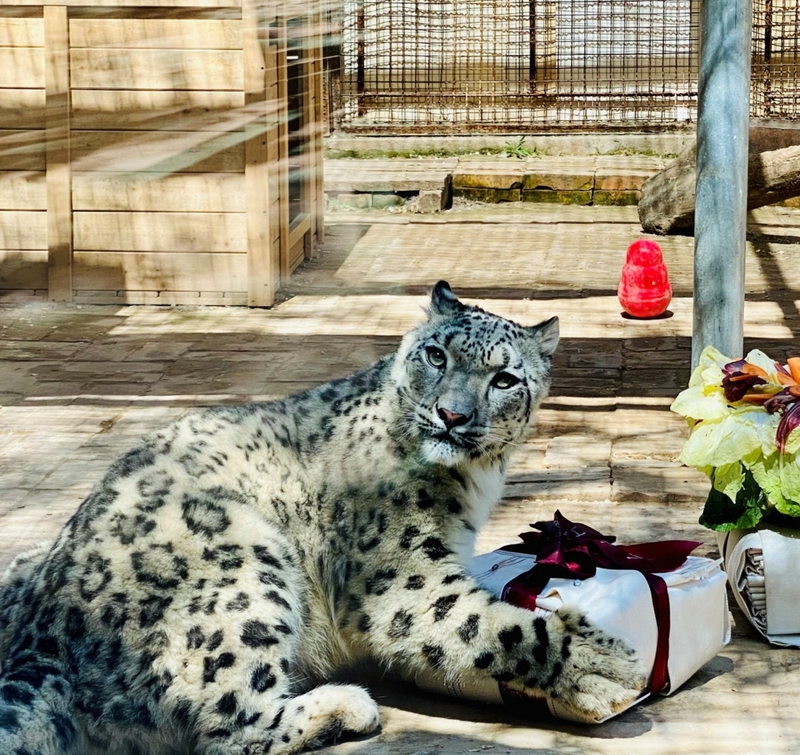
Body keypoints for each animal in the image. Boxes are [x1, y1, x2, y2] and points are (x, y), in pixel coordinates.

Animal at [0, 282, 644, 755]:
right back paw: (347, 706)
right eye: (436, 355)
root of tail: (40, 642)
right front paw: (600, 665)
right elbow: (486, 624)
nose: (452, 414)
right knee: (229, 728)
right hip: (244, 563)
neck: (474, 479)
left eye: (504, 378)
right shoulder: (402, 577)